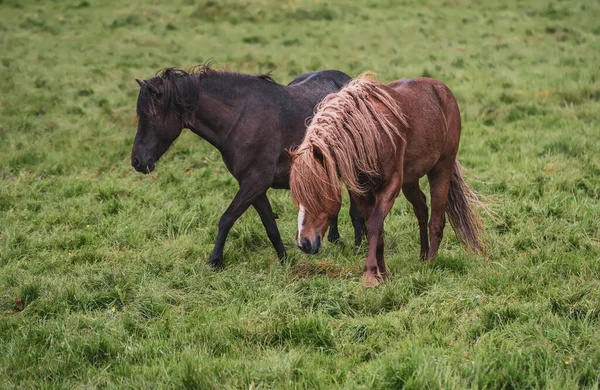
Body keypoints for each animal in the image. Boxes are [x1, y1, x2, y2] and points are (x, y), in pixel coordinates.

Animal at [131, 64, 366, 268]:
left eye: (150, 116)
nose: (136, 161)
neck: (241, 119)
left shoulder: (255, 182)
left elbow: (226, 219)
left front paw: (215, 260)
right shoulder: (255, 187)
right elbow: (270, 226)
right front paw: (285, 260)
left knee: (356, 210)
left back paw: (358, 245)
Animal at [288, 74, 486, 286]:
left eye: (317, 193)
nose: (303, 243)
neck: (368, 135)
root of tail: (441, 88)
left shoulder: (390, 187)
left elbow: (375, 225)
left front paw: (369, 275)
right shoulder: (361, 193)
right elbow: (376, 227)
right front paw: (382, 273)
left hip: (441, 169)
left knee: (436, 220)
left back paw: (431, 263)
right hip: (410, 180)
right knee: (421, 209)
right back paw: (423, 256)